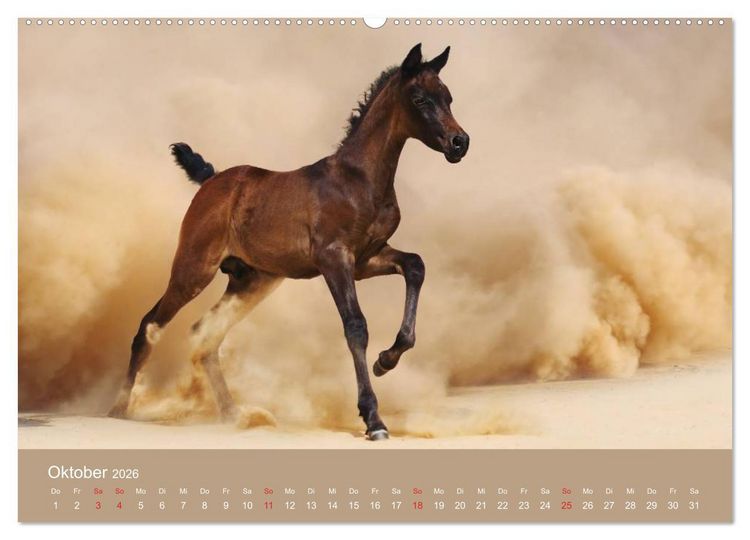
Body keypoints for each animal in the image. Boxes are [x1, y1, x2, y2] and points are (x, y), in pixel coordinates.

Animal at [107, 43, 469, 440]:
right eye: (420, 99)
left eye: (449, 98)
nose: (460, 142)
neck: (359, 179)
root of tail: (212, 179)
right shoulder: (334, 259)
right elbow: (356, 326)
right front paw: (373, 418)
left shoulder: (366, 259)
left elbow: (416, 265)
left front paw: (385, 361)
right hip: (193, 269)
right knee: (149, 325)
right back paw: (119, 409)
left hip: (251, 281)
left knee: (205, 335)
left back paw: (234, 414)